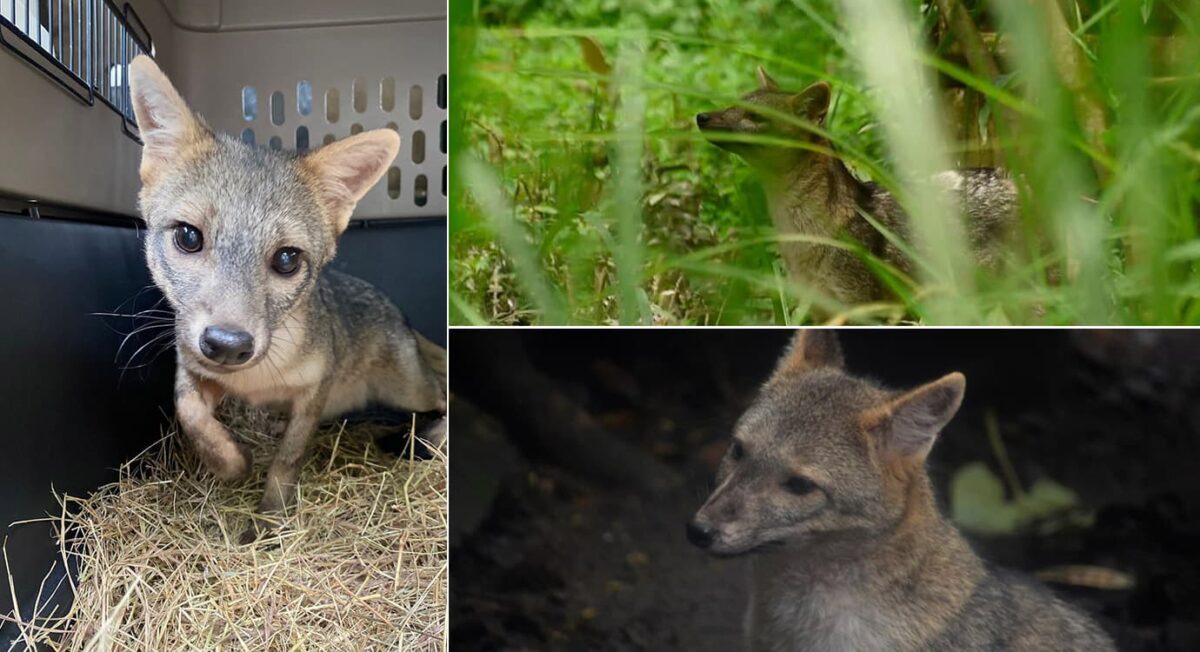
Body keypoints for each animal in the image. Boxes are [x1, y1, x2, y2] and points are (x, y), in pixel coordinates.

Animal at [127, 55, 447, 544]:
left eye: (286, 259)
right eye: (188, 237)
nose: (227, 346)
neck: (255, 382)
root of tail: (399, 314)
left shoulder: (313, 392)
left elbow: (286, 461)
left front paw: (268, 520)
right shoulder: (194, 370)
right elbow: (190, 413)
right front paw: (231, 461)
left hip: (408, 390)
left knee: (445, 397)